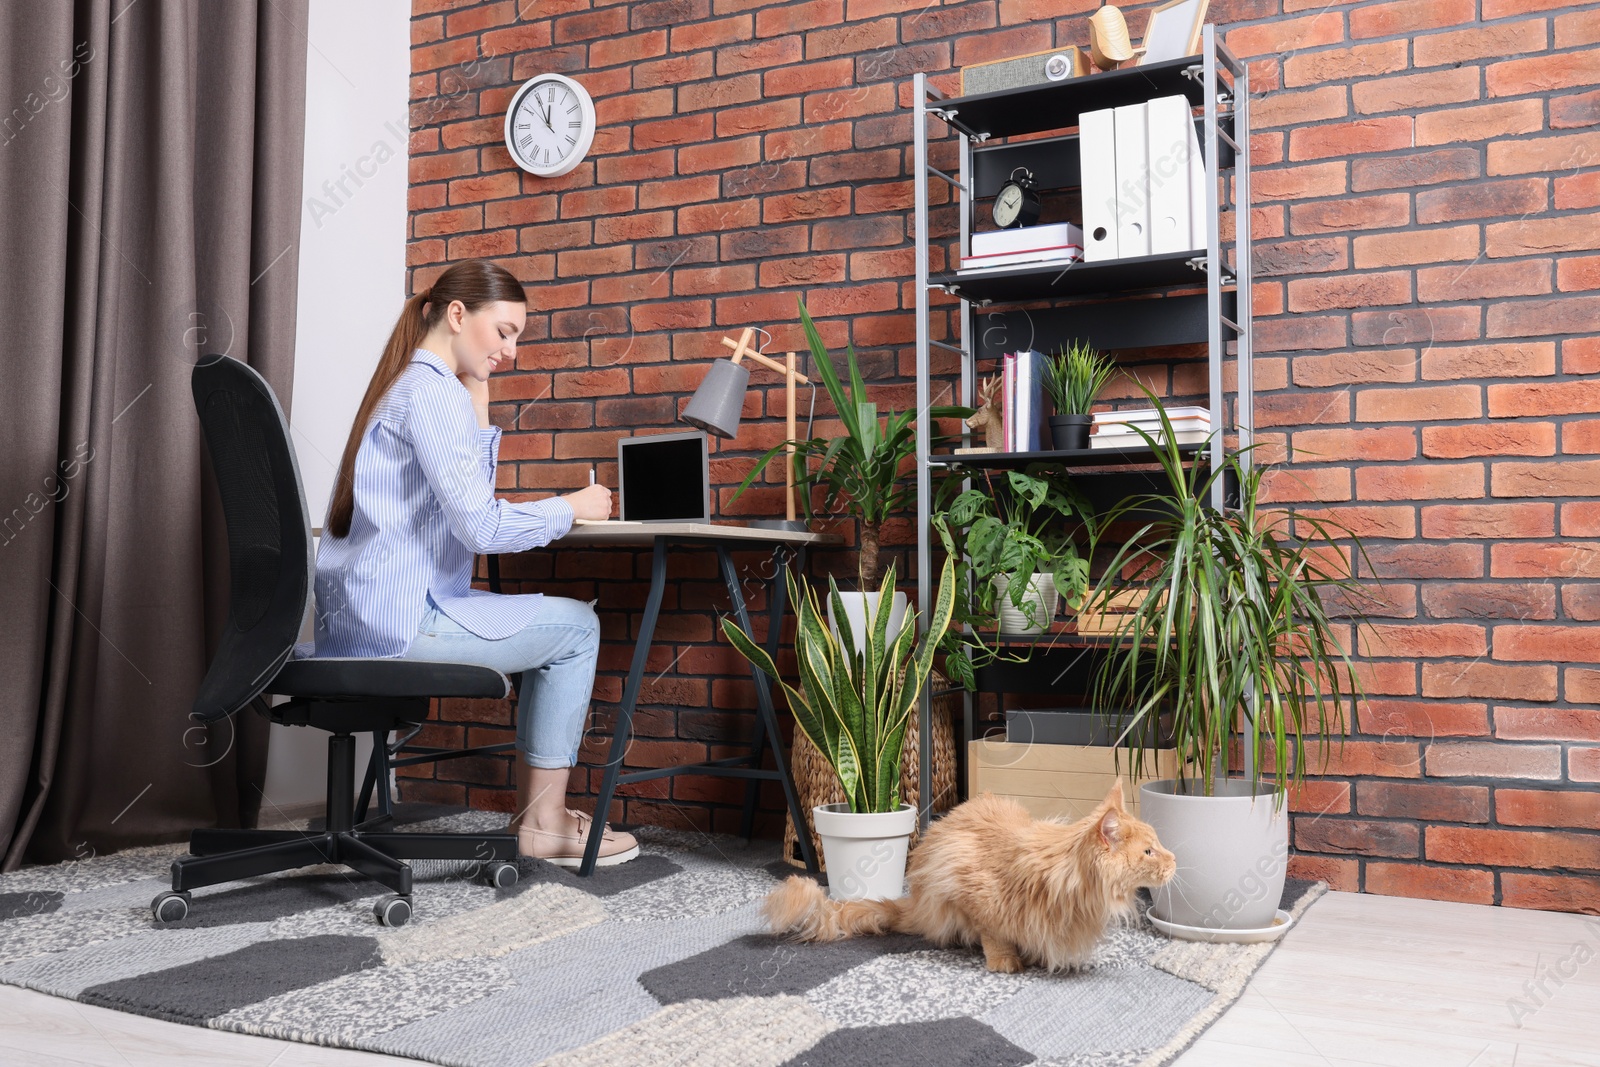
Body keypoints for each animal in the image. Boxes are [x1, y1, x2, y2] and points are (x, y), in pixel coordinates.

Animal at [761, 780, 1177, 972]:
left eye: (1158, 844)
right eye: (1149, 851)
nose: (1175, 860)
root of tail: (913, 903)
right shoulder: (963, 877)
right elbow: (994, 933)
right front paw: (1007, 960)